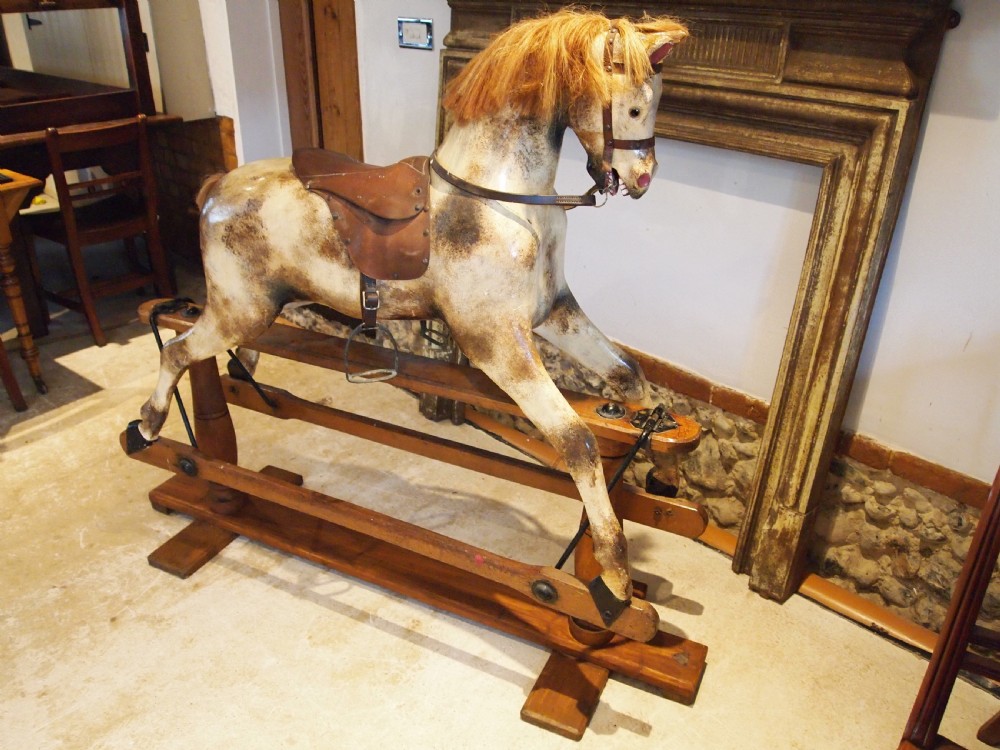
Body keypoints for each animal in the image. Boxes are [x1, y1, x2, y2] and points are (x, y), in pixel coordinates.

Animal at [134, 9, 689, 620]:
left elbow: (630, 377)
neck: (505, 199)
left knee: (221, 353)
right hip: (238, 309)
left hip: (266, 304)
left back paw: (243, 378)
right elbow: (578, 442)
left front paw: (664, 470)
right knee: (176, 350)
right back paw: (147, 427)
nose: (642, 179)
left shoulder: (554, 311)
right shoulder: (496, 341)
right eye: (633, 107)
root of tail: (215, 189)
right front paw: (613, 578)